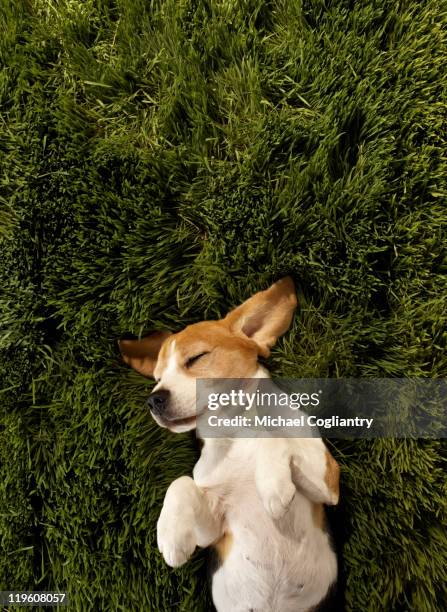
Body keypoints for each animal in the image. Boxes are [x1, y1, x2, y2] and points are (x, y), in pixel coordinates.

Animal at [119, 278, 340, 612]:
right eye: (157, 378)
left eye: (196, 358)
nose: (154, 400)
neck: (236, 430)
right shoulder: (214, 529)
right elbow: (180, 482)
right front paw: (171, 536)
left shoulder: (329, 483)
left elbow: (272, 437)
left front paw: (273, 487)